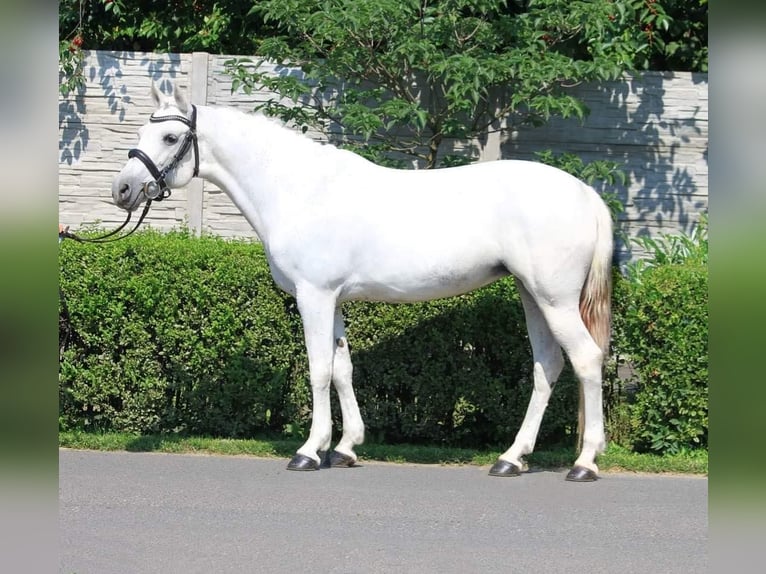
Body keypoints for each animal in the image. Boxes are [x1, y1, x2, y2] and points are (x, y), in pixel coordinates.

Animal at [112, 84, 612, 482]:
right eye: (138, 135)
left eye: (170, 137)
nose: (122, 190)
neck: (298, 190)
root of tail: (587, 194)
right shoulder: (333, 300)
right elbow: (342, 369)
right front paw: (345, 448)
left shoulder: (314, 296)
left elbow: (318, 370)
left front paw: (308, 452)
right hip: (533, 296)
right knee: (547, 367)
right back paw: (511, 459)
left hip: (555, 299)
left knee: (586, 360)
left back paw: (584, 463)